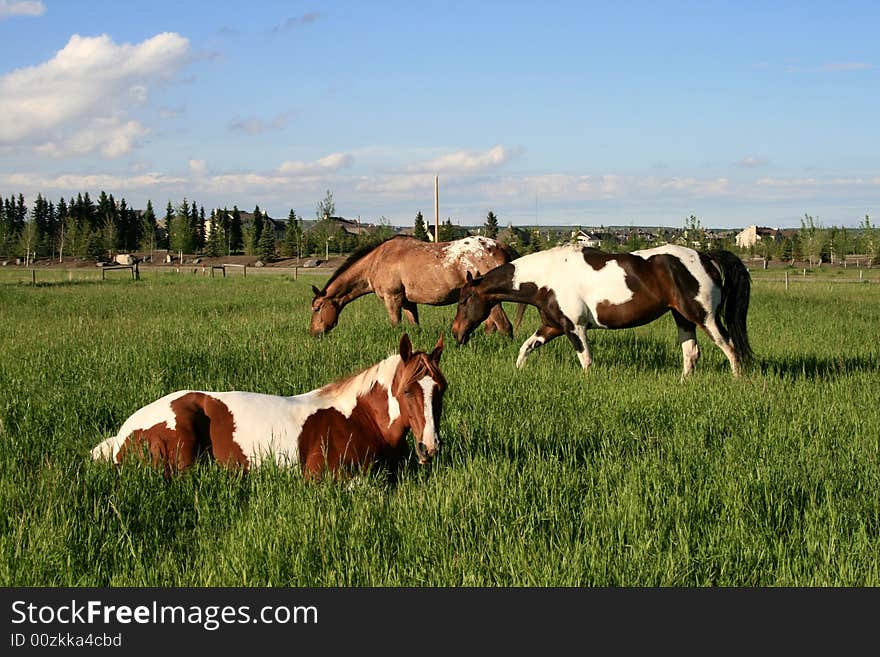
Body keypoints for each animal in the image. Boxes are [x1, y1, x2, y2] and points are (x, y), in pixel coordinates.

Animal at [310, 234, 520, 338]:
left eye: (317, 308)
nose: (314, 333)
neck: (377, 260)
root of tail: (501, 246)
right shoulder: (408, 302)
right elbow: (414, 326)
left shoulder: (392, 297)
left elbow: (395, 324)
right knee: (492, 326)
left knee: (504, 327)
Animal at [450, 243, 752, 380]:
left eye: (463, 301)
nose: (455, 333)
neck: (545, 279)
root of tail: (706, 257)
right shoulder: (552, 326)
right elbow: (526, 347)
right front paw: (518, 371)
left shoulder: (575, 328)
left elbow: (586, 361)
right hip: (683, 318)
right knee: (691, 353)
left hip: (705, 317)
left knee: (730, 346)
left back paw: (737, 380)